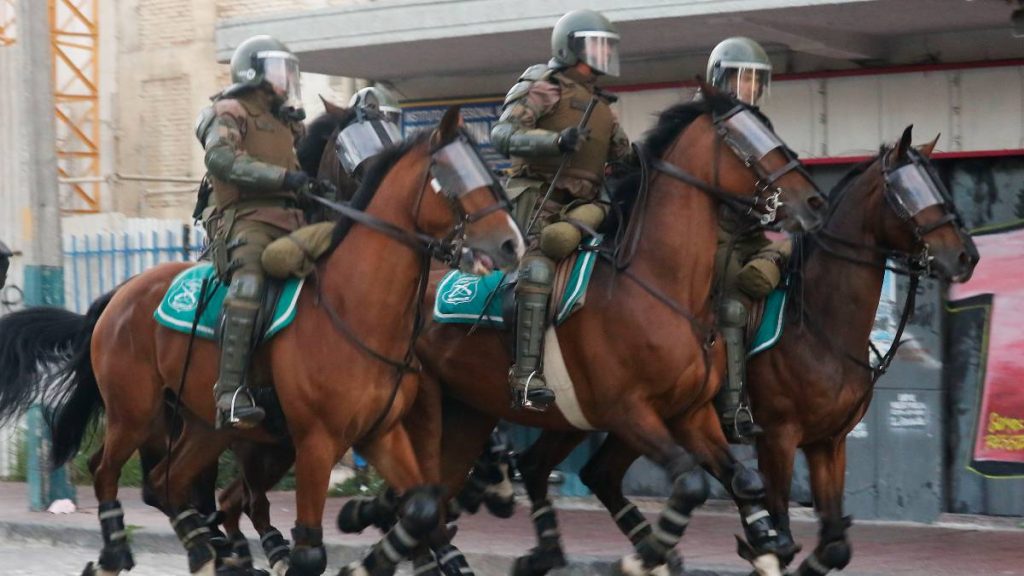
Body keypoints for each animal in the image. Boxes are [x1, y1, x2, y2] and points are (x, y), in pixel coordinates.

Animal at [0, 106, 524, 573]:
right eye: (450, 177)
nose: (512, 244)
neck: (355, 306)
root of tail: (119, 295)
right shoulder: (315, 443)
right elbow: (308, 546)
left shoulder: (381, 433)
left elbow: (422, 508)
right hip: (136, 412)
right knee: (107, 471)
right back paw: (120, 554)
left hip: (206, 427)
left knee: (166, 483)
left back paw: (205, 555)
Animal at [403, 86, 827, 573]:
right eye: (747, 138)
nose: (814, 201)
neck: (660, 287)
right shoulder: (629, 411)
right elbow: (691, 485)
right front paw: (646, 557)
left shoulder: (691, 414)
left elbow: (744, 479)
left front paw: (767, 546)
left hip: (469, 413)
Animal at [499, 124, 978, 573]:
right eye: (910, 191)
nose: (966, 257)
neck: (818, 322)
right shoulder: (779, 437)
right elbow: (780, 525)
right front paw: (762, 543)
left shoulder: (829, 443)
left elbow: (834, 544)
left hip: (604, 416)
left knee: (580, 471)